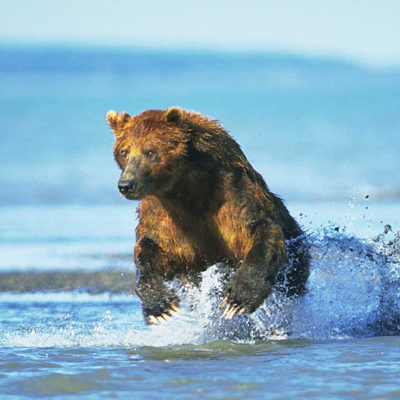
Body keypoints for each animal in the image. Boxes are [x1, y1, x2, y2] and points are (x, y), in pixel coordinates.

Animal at [106, 107, 310, 324]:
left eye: (150, 151)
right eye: (124, 151)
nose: (126, 184)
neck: (188, 188)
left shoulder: (231, 193)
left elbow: (257, 229)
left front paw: (238, 298)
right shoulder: (165, 214)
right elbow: (152, 249)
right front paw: (160, 306)